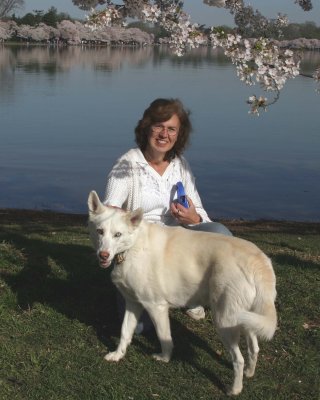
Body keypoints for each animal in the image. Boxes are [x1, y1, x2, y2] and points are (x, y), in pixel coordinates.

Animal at [88, 191, 278, 396]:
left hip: (224, 320)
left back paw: (234, 389)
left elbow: (164, 338)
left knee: (238, 359)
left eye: (118, 234)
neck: (132, 246)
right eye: (100, 232)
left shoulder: (156, 307)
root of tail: (257, 260)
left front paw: (164, 358)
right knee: (254, 348)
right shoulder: (133, 305)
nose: (103, 255)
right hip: (247, 318)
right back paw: (250, 373)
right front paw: (118, 355)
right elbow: (125, 332)